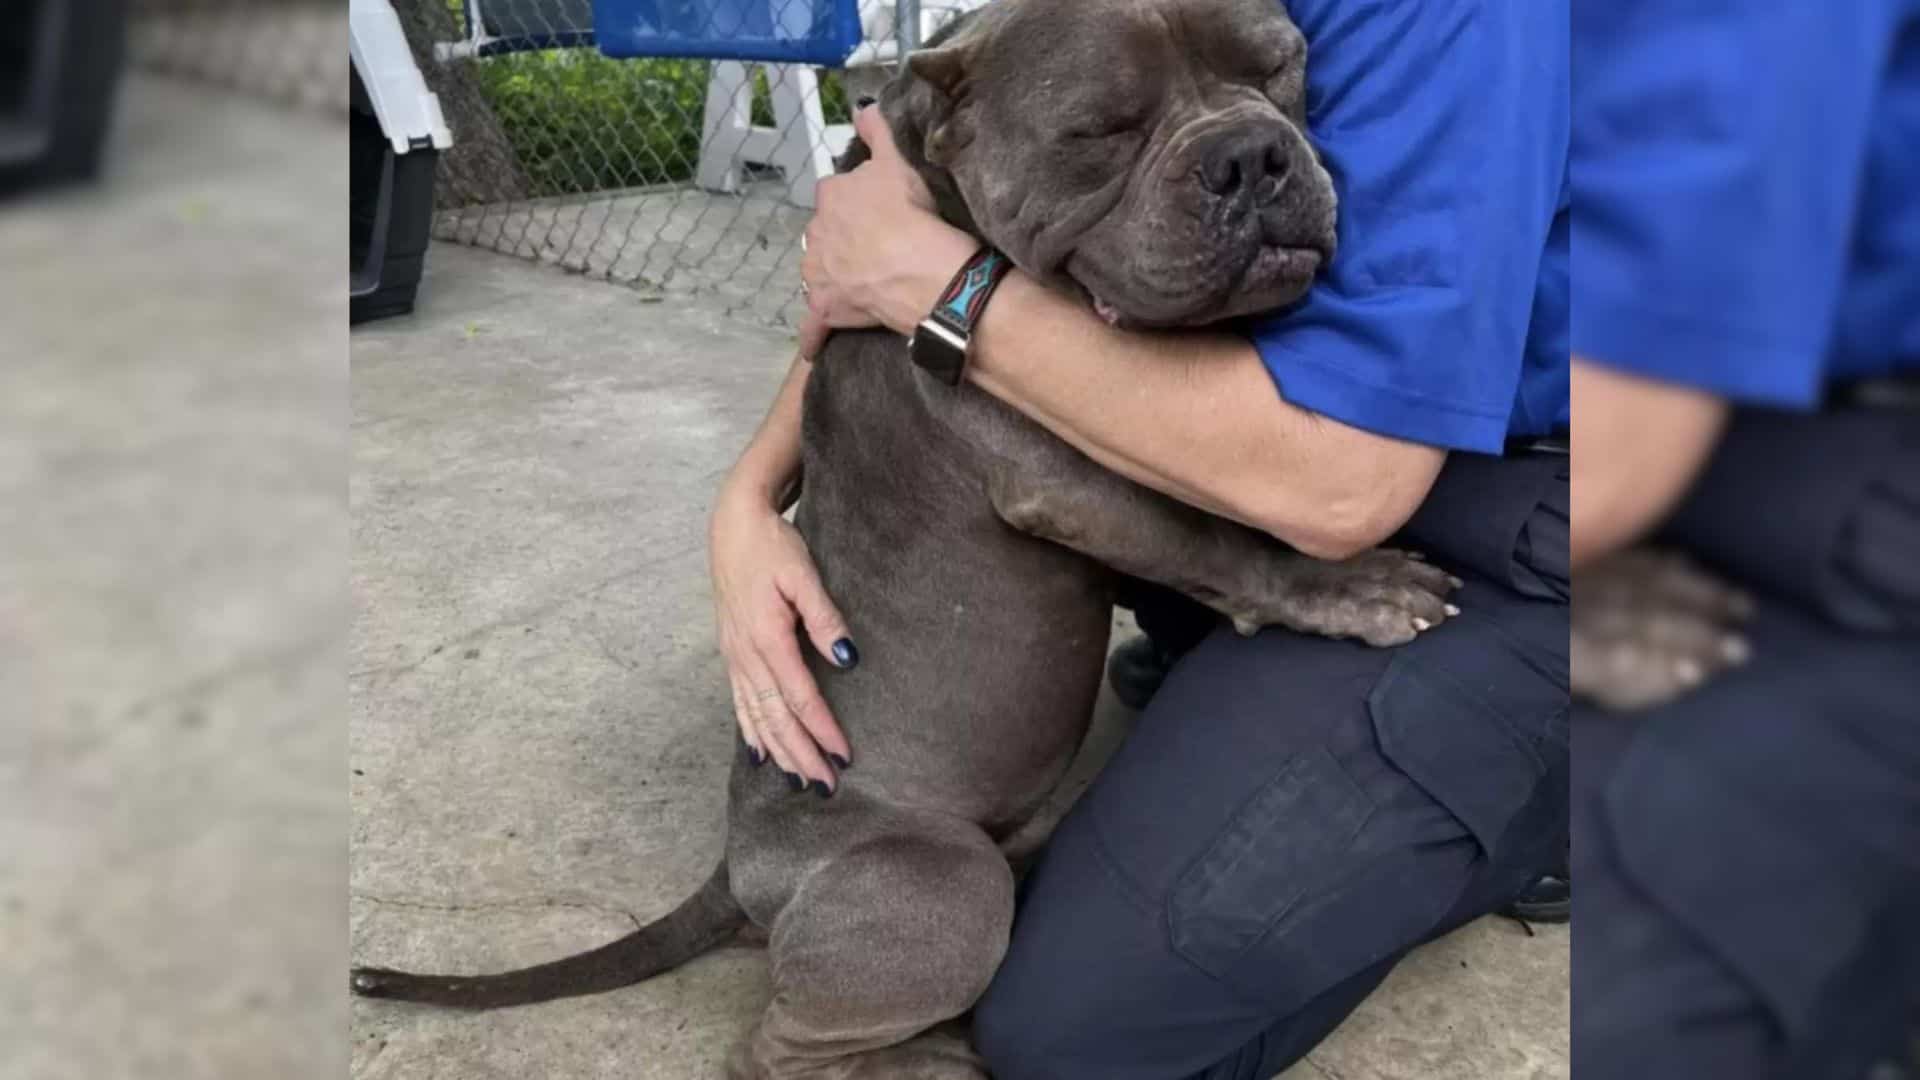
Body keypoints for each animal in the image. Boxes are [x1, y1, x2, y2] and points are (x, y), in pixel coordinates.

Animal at [353, 4, 1451, 1068]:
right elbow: (1221, 542)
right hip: (947, 884)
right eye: (1099, 130)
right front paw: (1350, 590)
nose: (1251, 155)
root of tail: (739, 871)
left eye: (1278, 67)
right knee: (774, 1051)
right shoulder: (1070, 482)